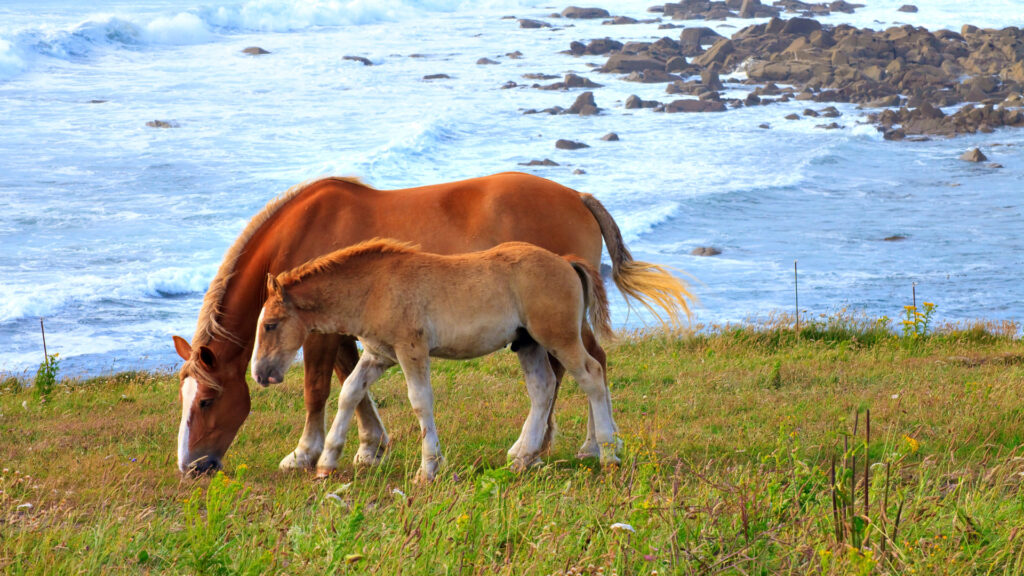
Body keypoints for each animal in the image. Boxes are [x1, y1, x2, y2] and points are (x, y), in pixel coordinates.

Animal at [172, 171, 692, 475]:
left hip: (555, 332)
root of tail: (578, 197)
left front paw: (307, 453)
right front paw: (360, 449)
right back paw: (535, 450)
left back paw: (594, 447)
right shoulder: (369, 342)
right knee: (558, 379)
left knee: (590, 369)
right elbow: (350, 387)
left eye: (208, 400)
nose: (192, 467)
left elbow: (323, 388)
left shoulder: (340, 337)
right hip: (530, 340)